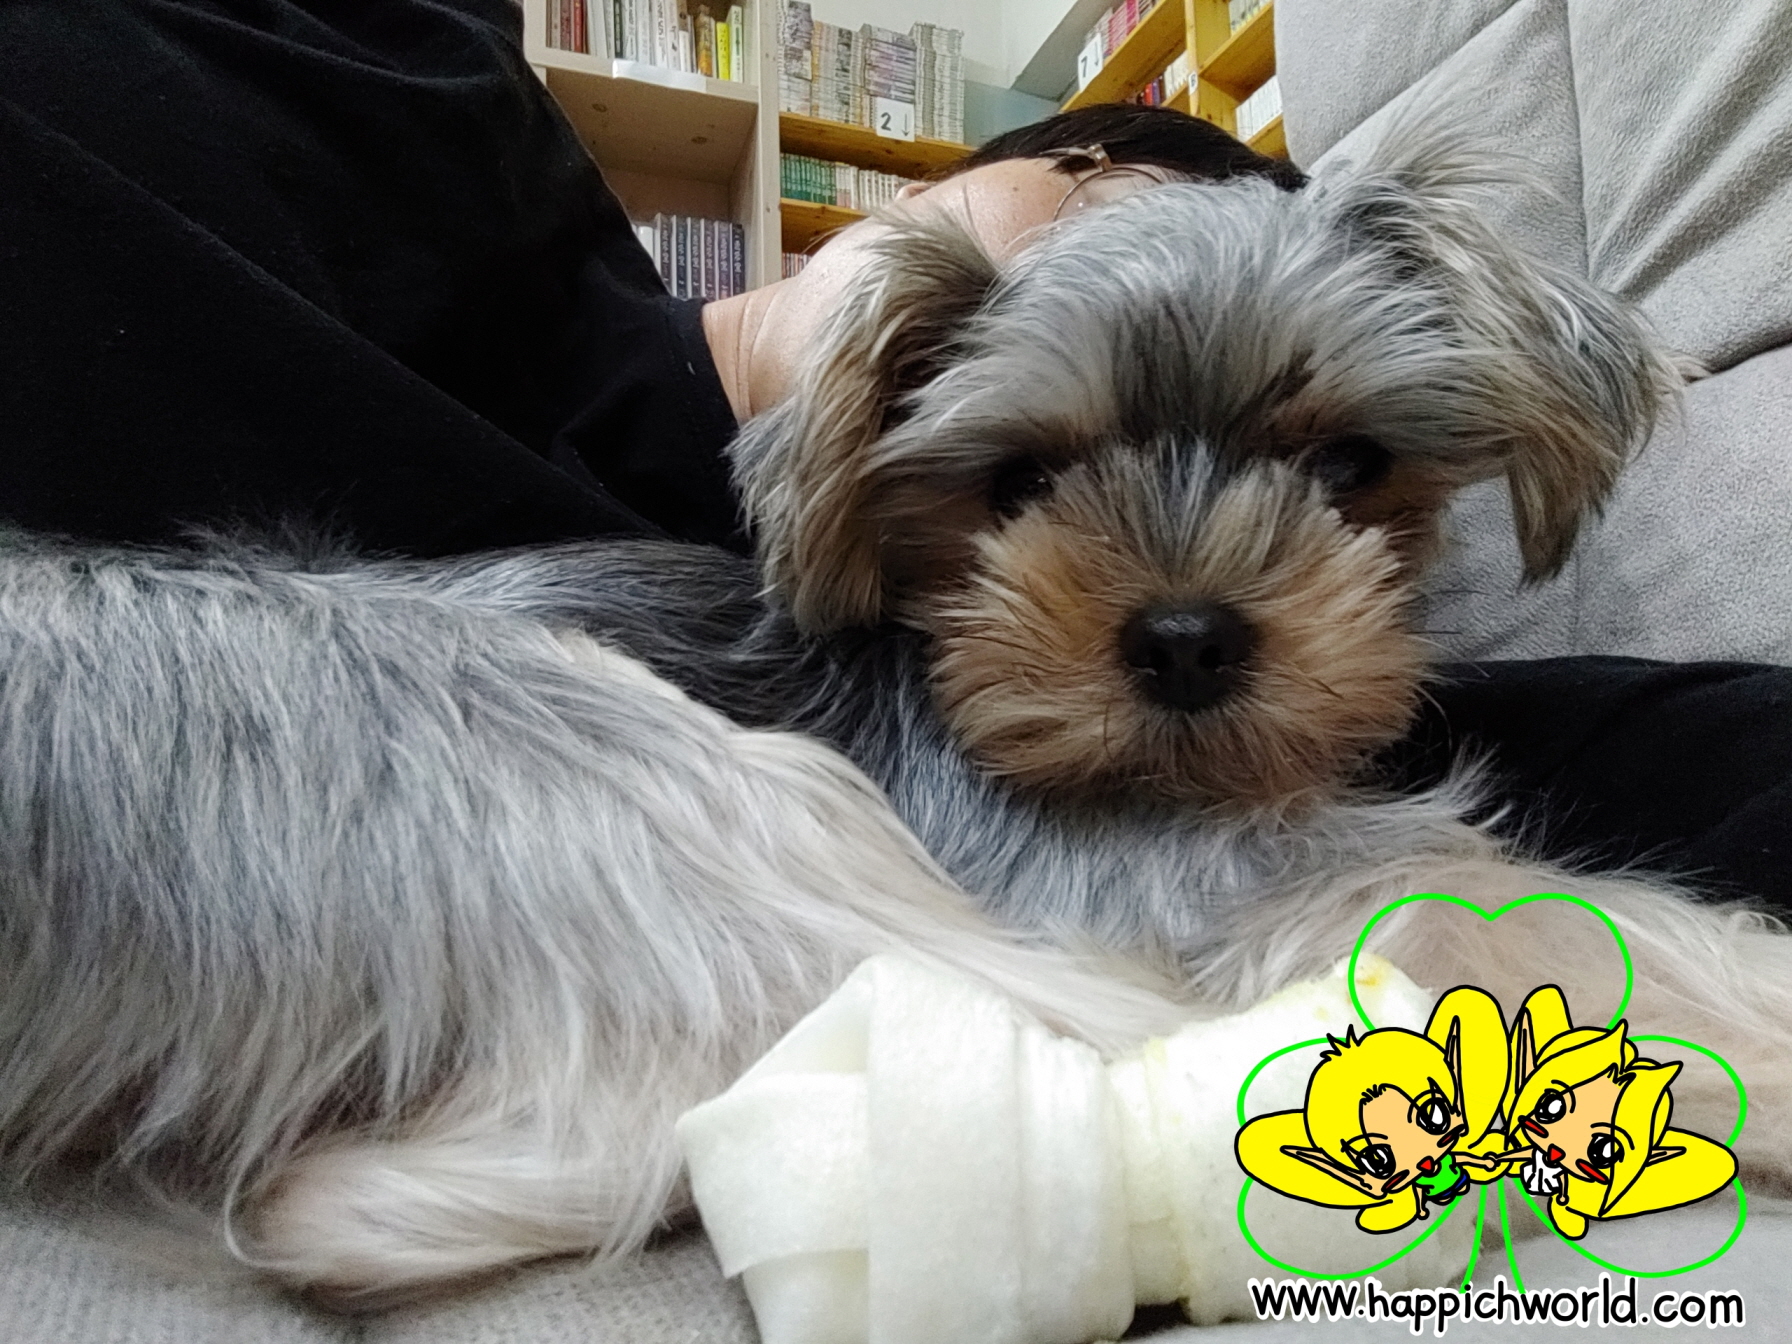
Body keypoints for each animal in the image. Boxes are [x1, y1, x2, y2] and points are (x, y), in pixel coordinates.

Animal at [0, 119, 1785, 1309]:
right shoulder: (1161, 880)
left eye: (1354, 465)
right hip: (621, 757)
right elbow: (1473, 900)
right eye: (1018, 482)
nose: (1189, 640)